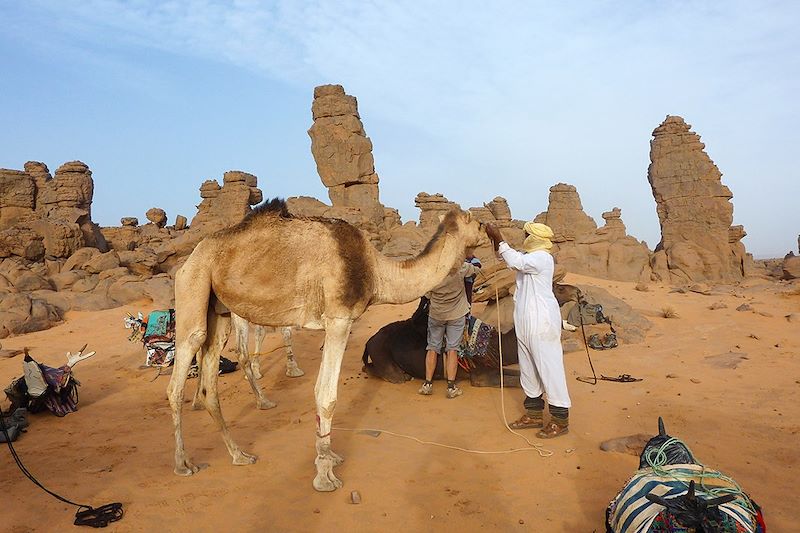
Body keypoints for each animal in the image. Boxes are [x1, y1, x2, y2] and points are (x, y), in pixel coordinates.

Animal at [166, 200, 484, 490]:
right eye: (478, 223)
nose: (487, 235)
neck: (377, 271)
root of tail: (188, 260)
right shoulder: (339, 320)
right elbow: (327, 396)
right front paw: (325, 475)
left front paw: (331, 458)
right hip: (193, 285)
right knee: (181, 370)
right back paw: (183, 464)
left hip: (219, 310)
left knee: (210, 382)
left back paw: (239, 454)